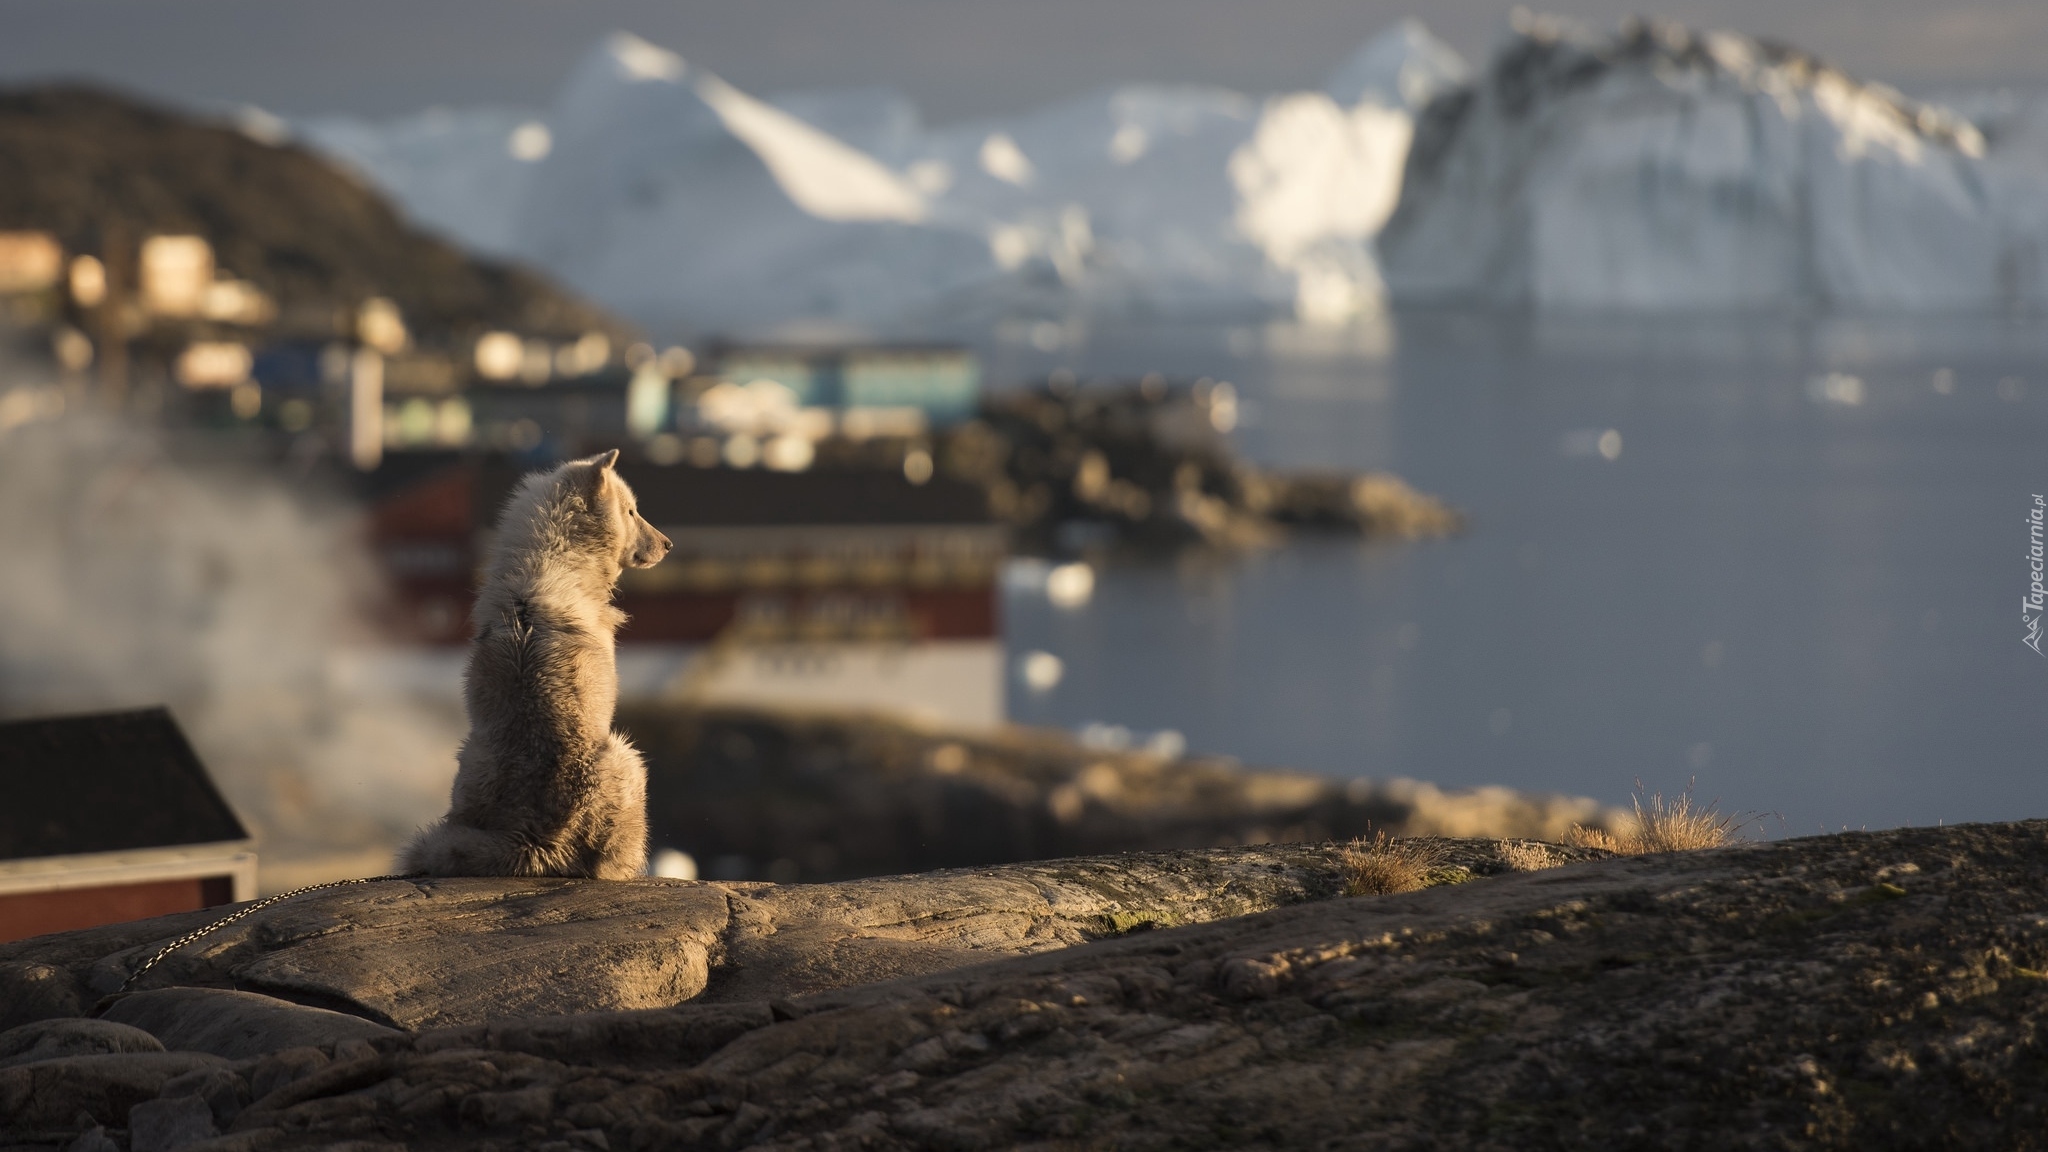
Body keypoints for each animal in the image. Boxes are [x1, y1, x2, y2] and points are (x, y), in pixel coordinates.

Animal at [403, 450, 675, 877]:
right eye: (631, 511)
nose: (668, 544)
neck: (556, 558)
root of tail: (535, 839)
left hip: (468, 764)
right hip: (630, 756)